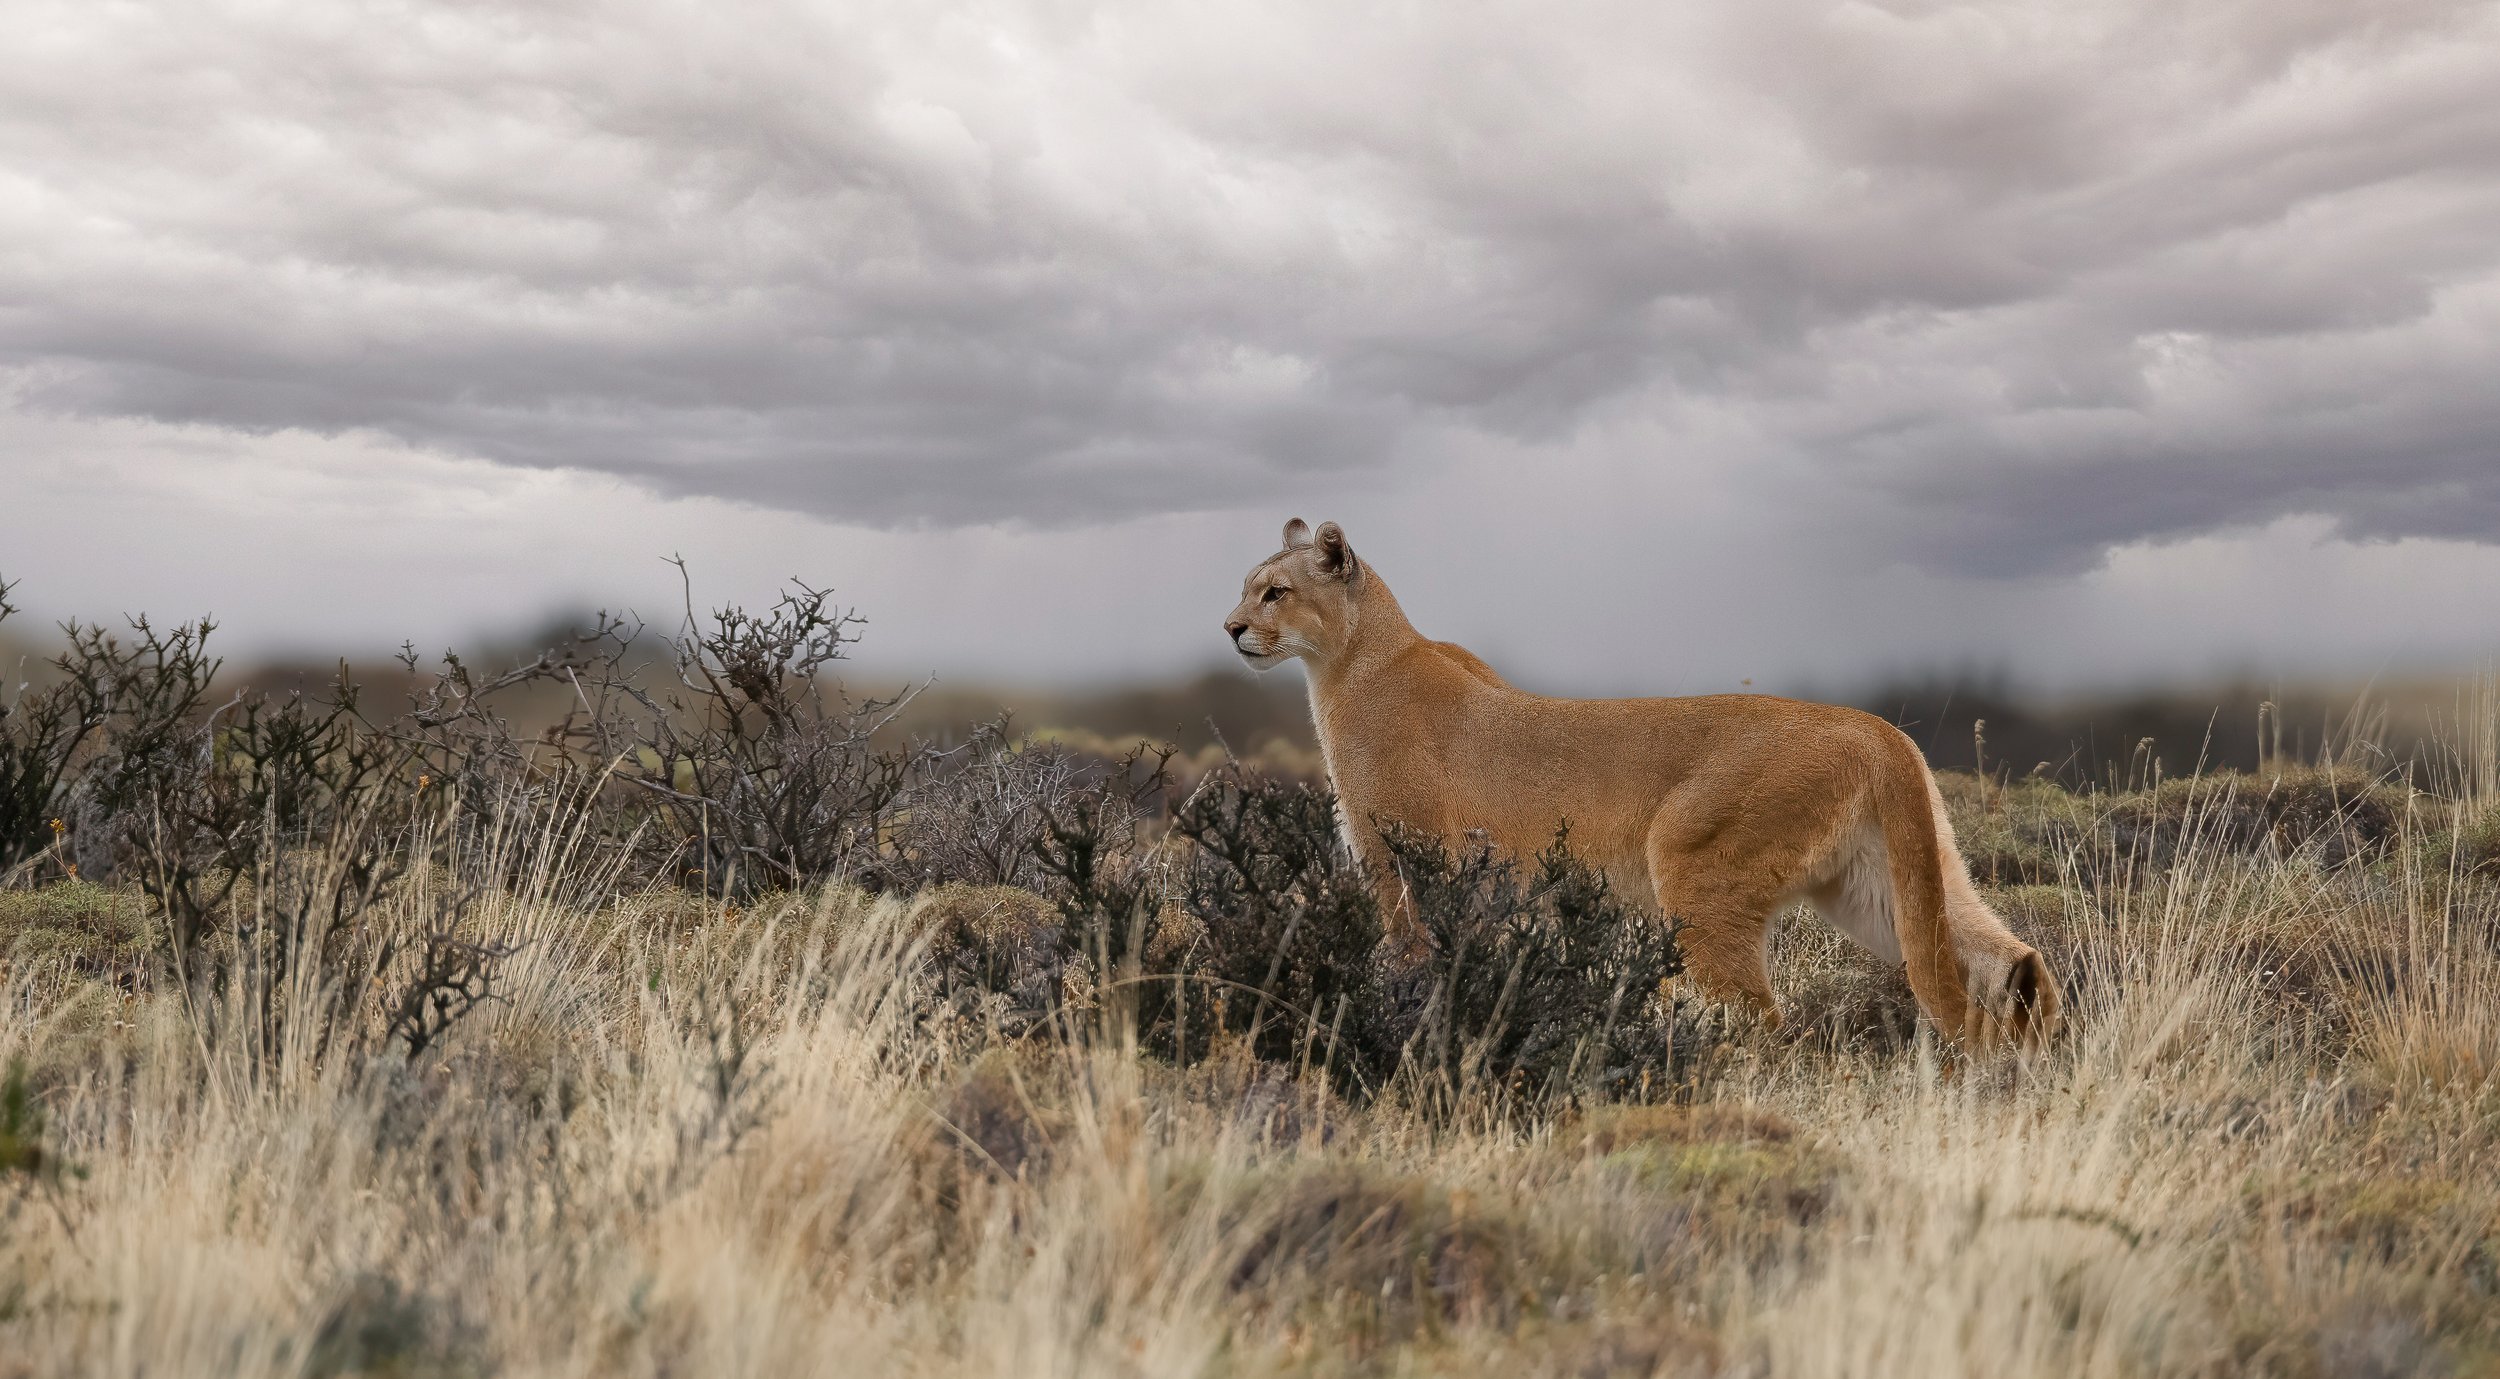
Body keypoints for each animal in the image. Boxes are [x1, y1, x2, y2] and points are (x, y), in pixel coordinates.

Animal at [1222, 517, 2059, 1051]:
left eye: (1274, 592)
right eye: (1245, 588)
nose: (1229, 627)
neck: (1352, 660)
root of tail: (1868, 724)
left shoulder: (1393, 856)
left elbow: (1402, 952)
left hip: (1693, 866)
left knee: (1760, 1014)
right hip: (1876, 886)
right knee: (1997, 954)